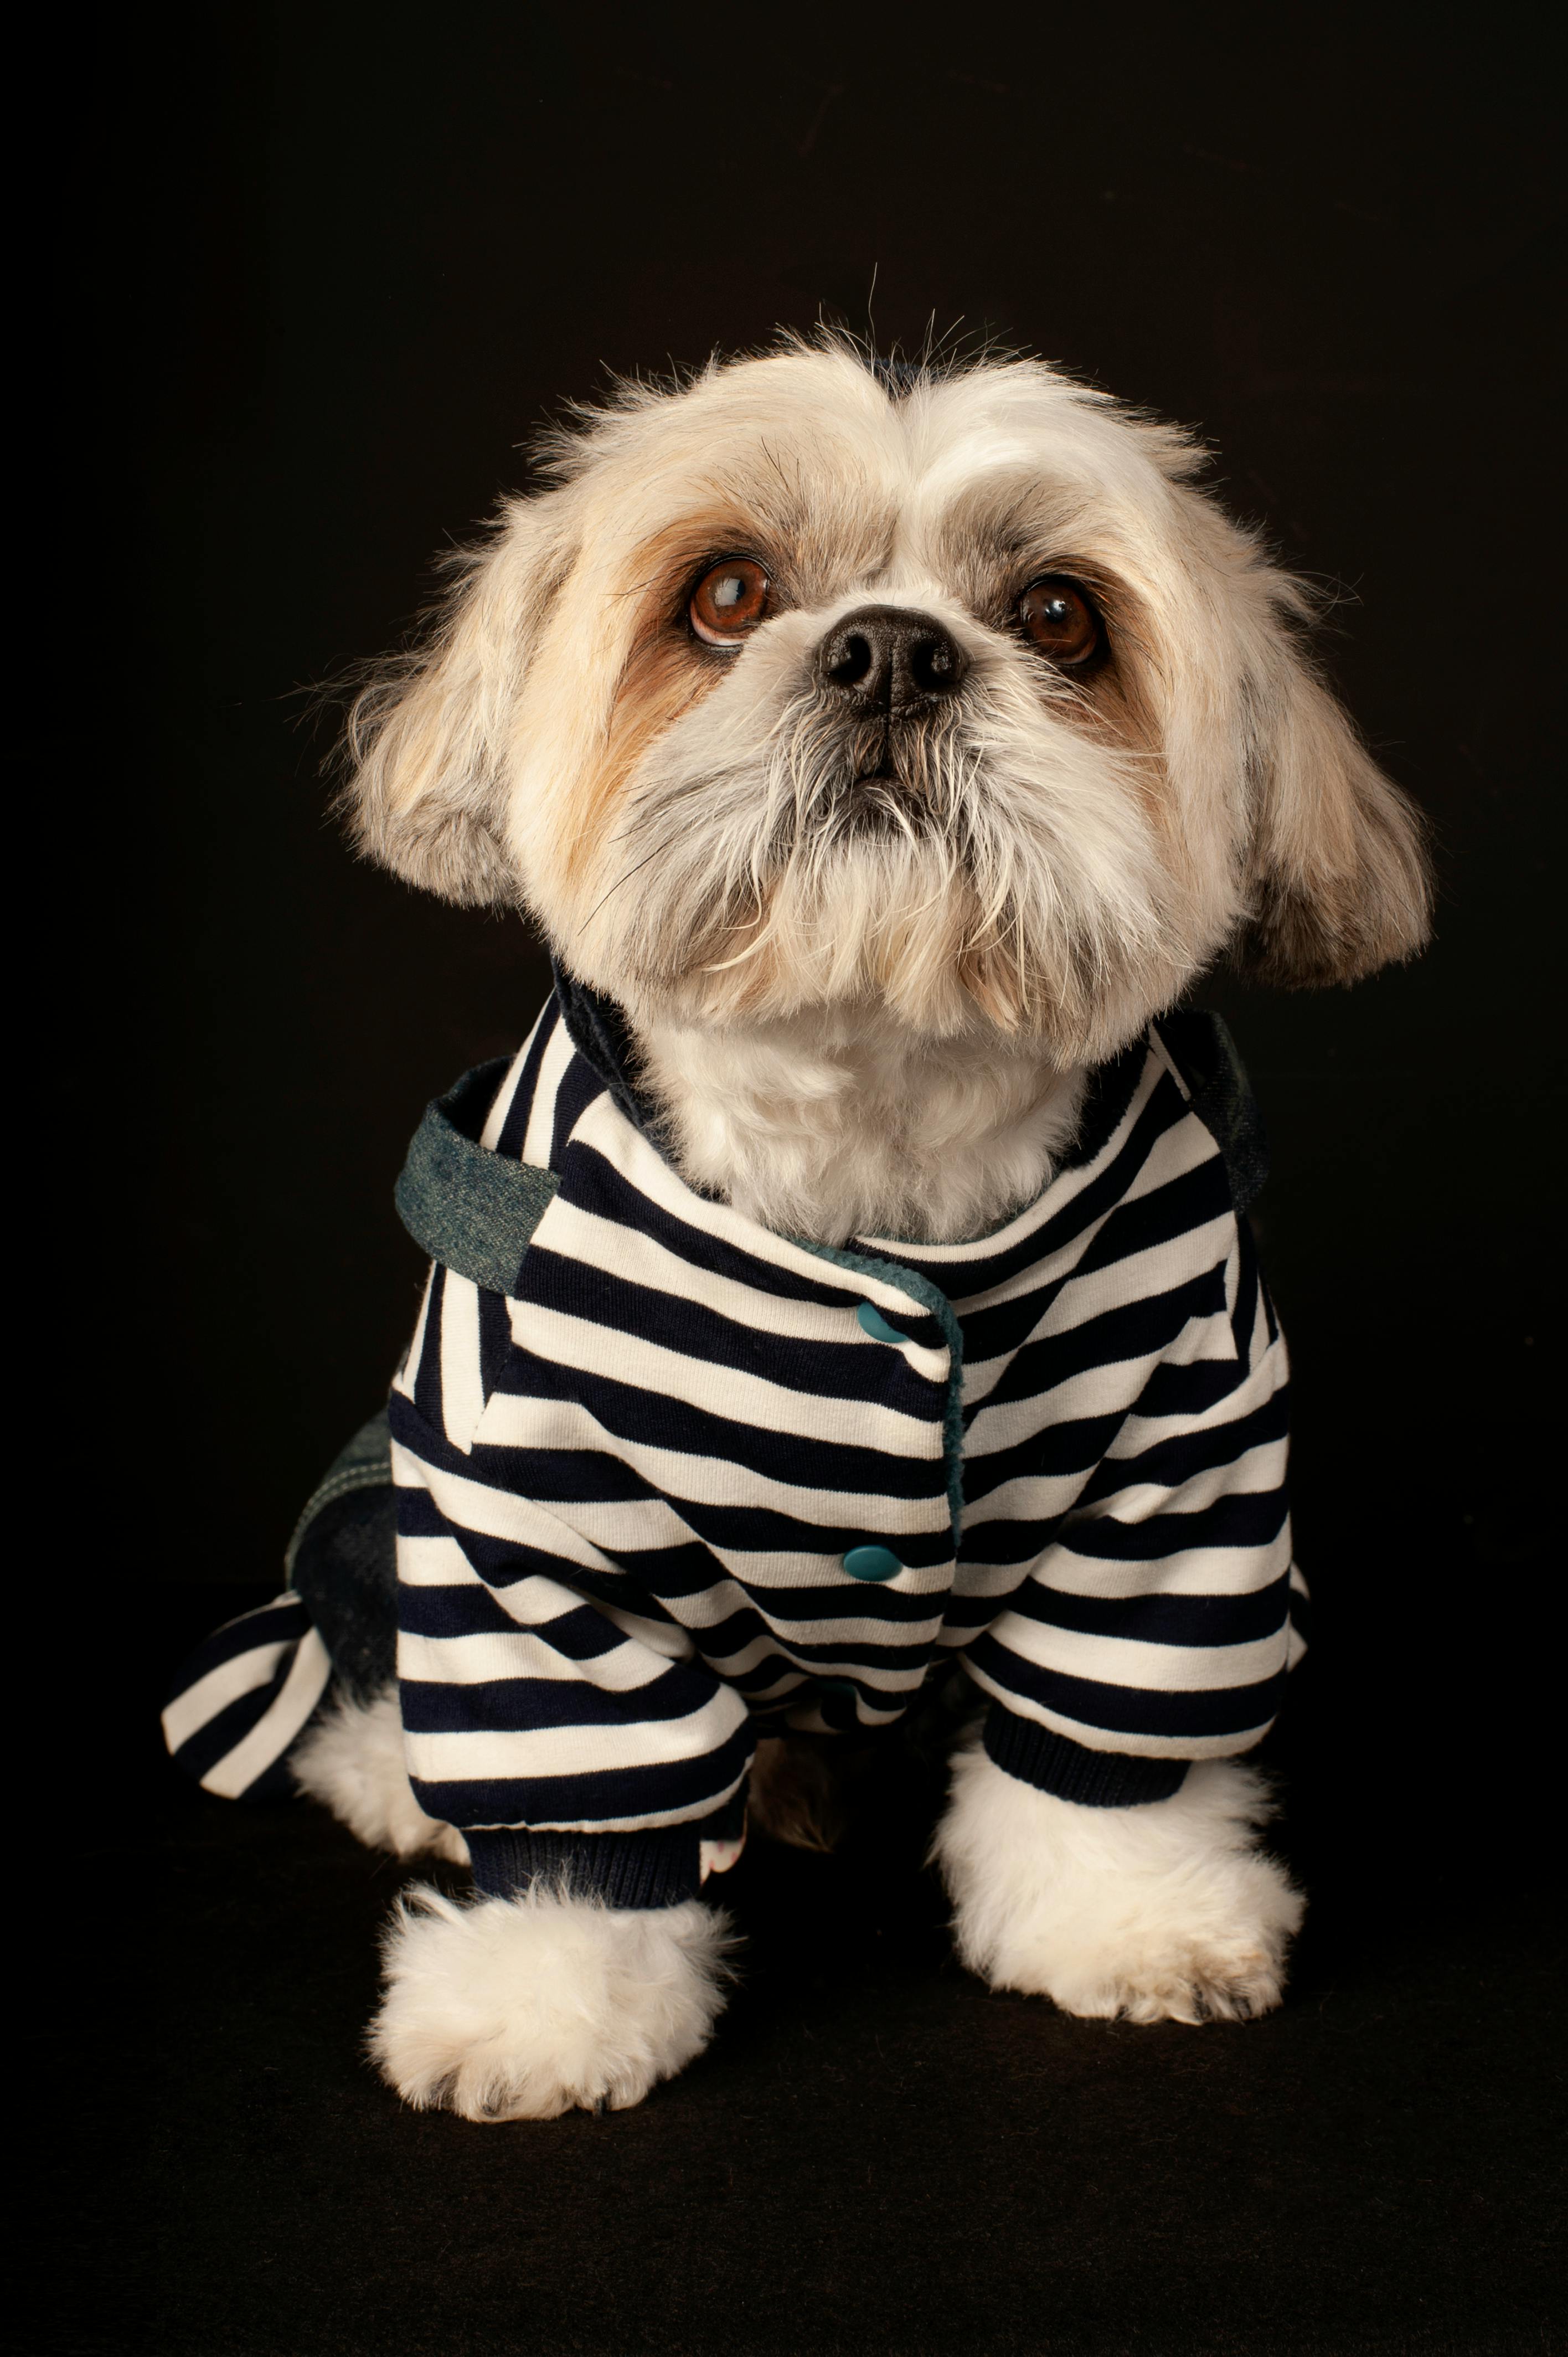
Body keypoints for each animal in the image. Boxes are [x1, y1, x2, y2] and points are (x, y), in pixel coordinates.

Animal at [161, 342, 1433, 2130]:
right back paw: (394, 1776)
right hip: (371, 1523)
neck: (869, 1163)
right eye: (727, 593)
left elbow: (1102, 1747)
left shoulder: (1177, 1492)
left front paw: (1130, 1914)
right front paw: (542, 2001)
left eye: (1057, 615)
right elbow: (573, 1814)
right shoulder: (518, 1526)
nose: (890, 648)